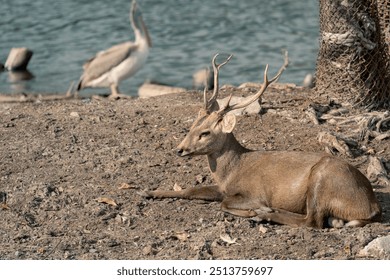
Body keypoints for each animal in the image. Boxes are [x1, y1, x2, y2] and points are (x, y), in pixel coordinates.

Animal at [142, 53, 382, 229]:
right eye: (192, 127)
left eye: (205, 133)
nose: (180, 149)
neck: (231, 171)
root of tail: (371, 207)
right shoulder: (222, 188)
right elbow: (191, 190)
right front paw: (148, 191)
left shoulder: (254, 192)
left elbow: (224, 204)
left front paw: (254, 210)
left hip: (321, 180)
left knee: (312, 221)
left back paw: (264, 214)